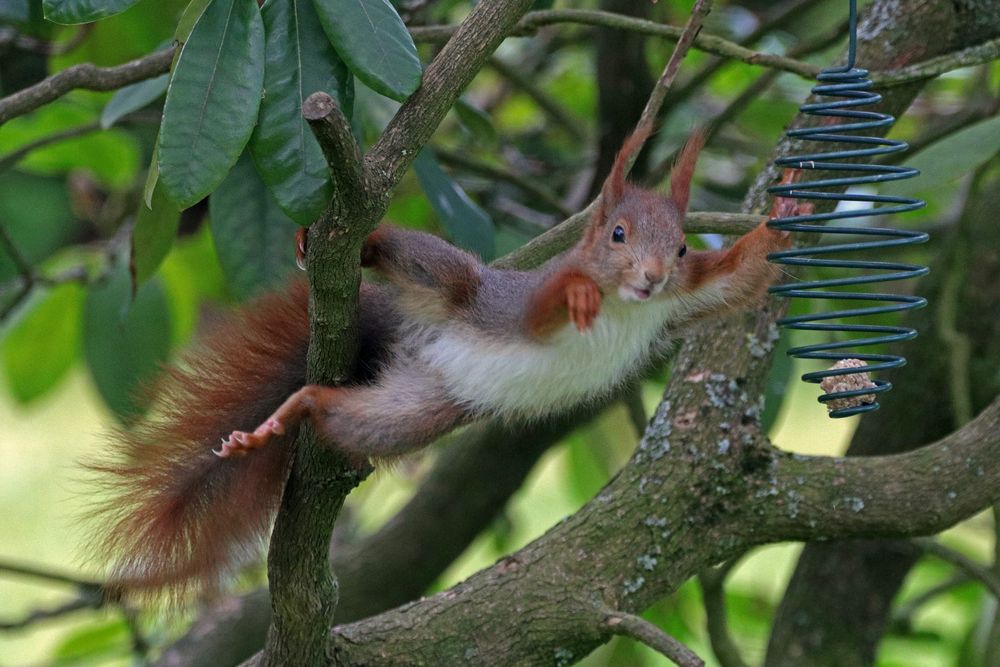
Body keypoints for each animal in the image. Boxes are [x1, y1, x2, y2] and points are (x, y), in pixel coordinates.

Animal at [94, 130, 792, 600]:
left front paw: (785, 218)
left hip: (415, 409)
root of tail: (415, 342)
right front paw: (576, 294)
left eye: (681, 247)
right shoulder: (521, 306)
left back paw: (298, 411)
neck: (629, 304)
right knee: (416, 260)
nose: (651, 278)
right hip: (454, 285)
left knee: (340, 412)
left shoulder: (683, 300)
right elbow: (543, 310)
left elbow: (743, 282)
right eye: (617, 234)